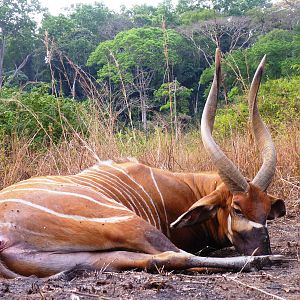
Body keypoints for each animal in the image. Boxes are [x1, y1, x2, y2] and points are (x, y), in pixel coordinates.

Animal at [0, 48, 286, 276]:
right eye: (237, 209)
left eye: (265, 210)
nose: (262, 247)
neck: (189, 186)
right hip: (130, 224)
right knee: (175, 254)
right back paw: (263, 260)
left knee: (154, 260)